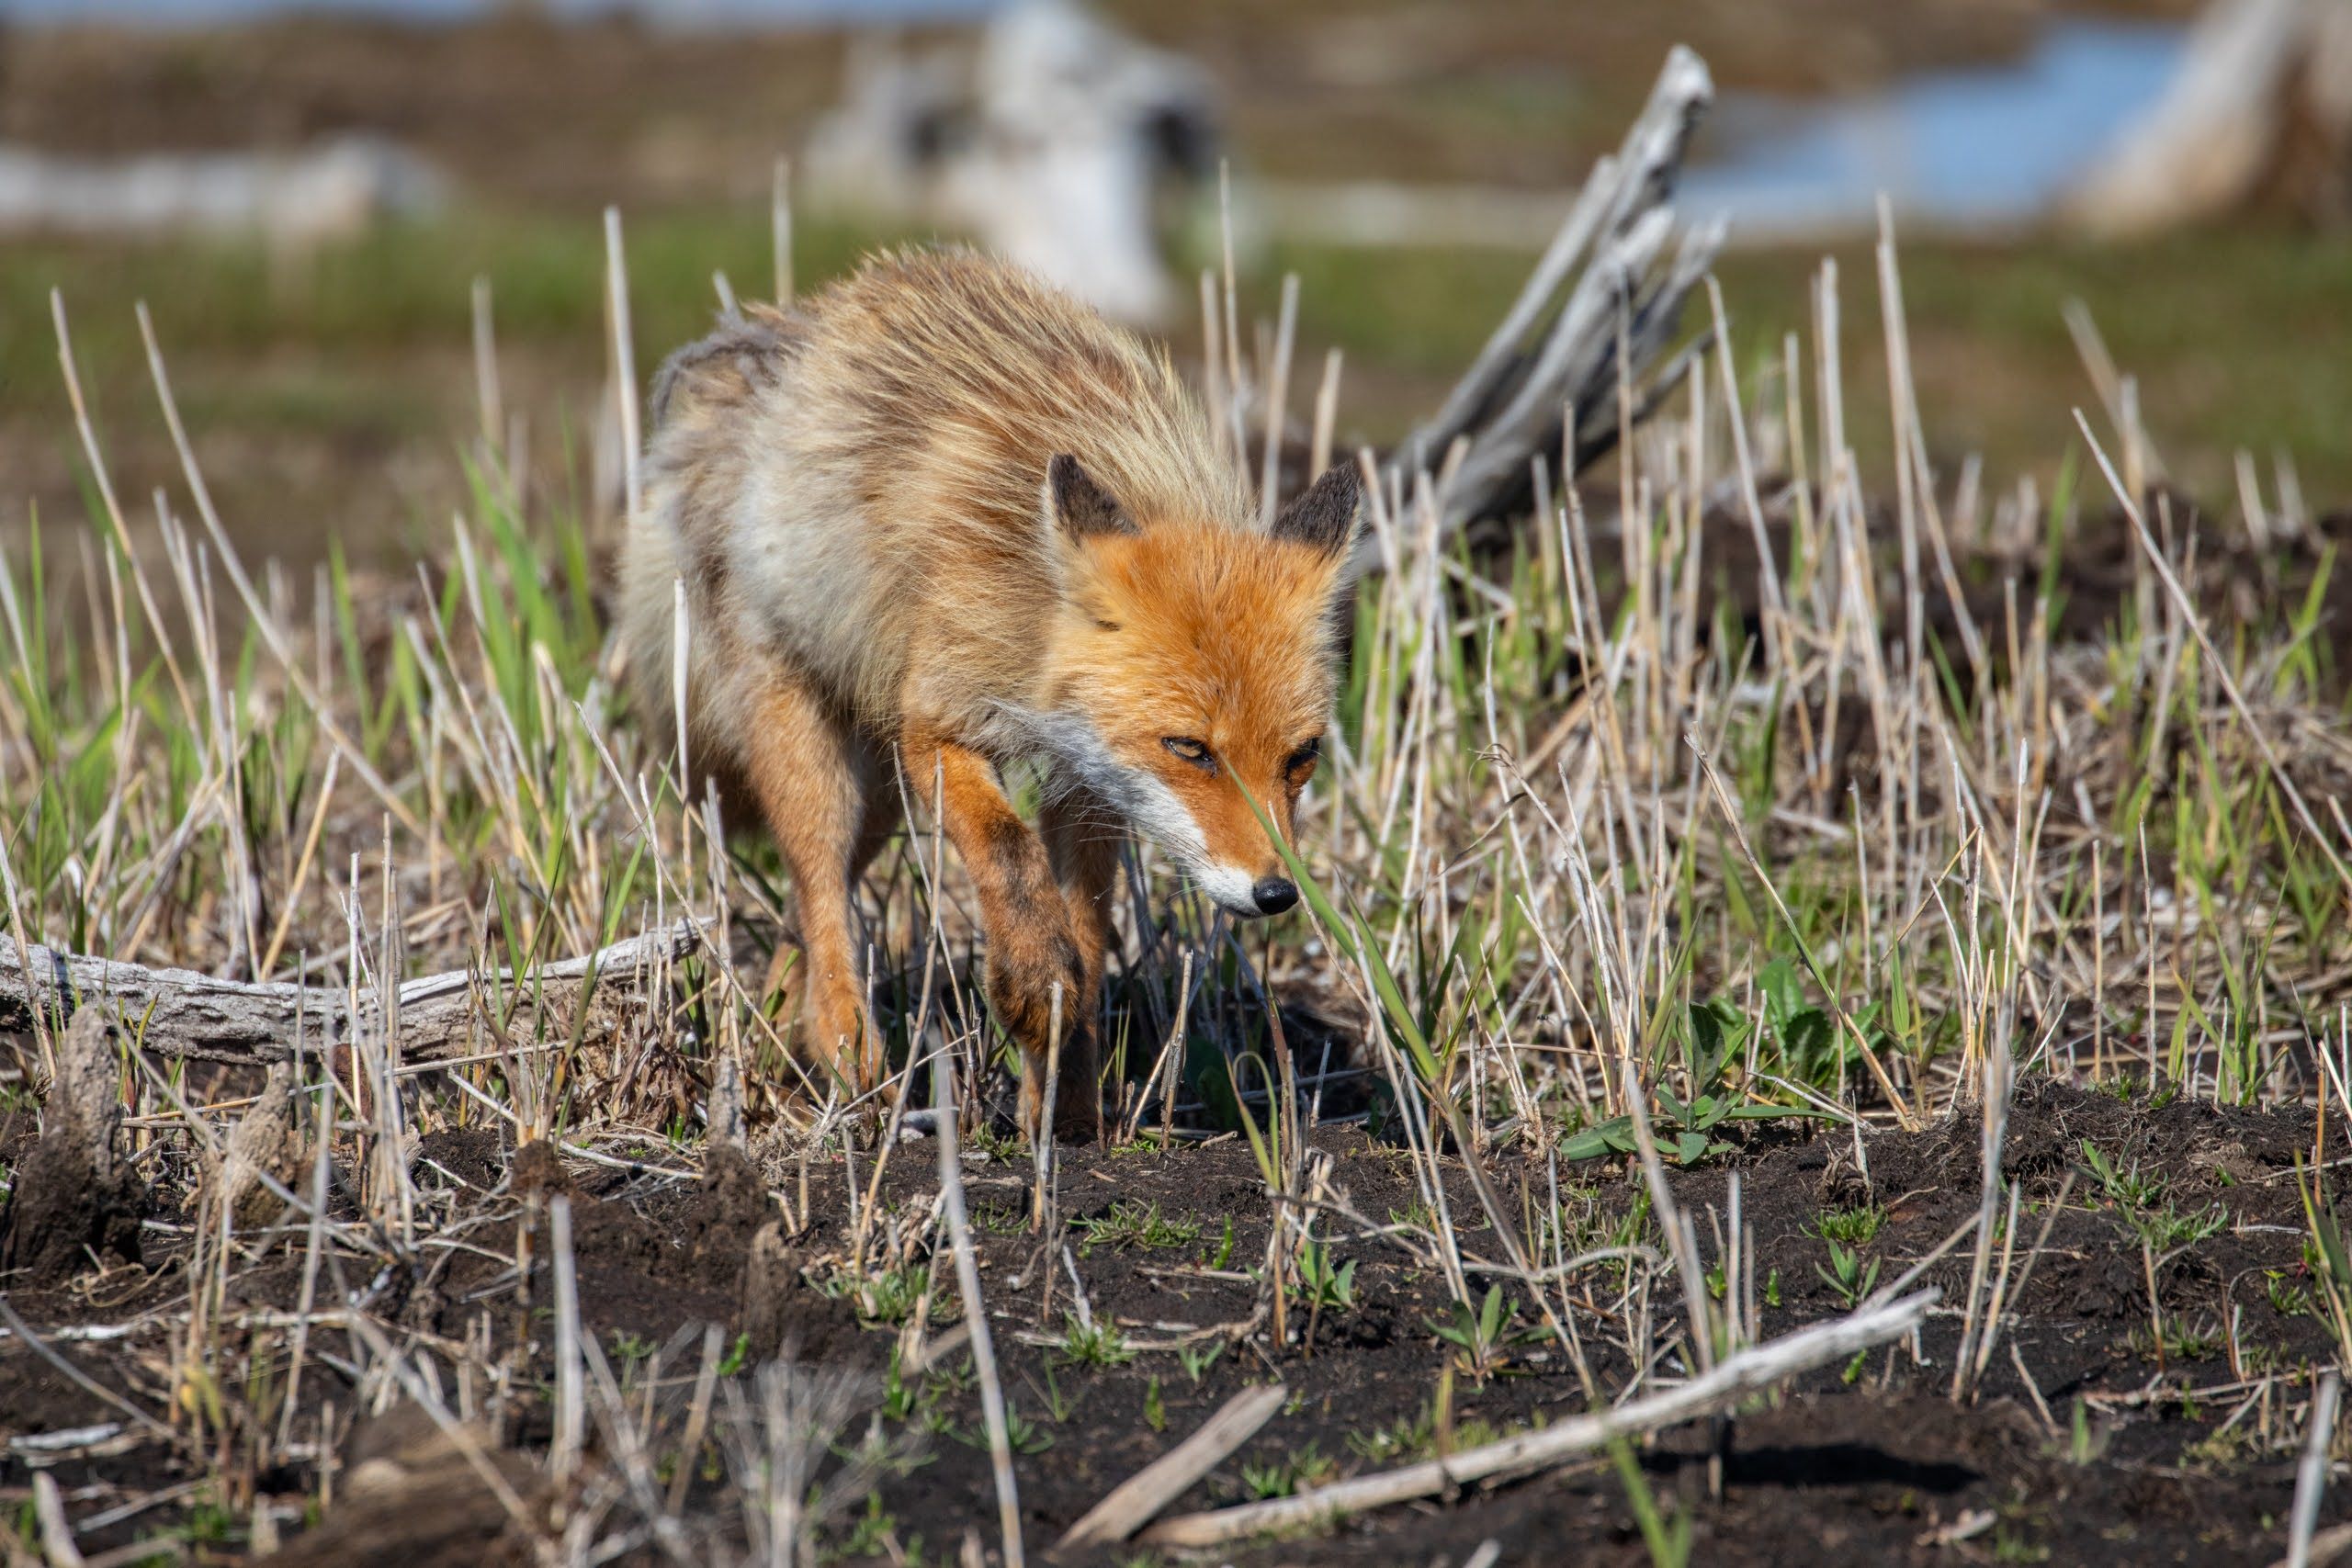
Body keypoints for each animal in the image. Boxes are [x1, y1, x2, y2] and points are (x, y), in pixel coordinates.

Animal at [618, 247, 1362, 1140]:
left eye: (1301, 756)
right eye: (1191, 748)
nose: (1276, 892)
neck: (1029, 605)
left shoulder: (1091, 782)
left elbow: (1087, 927)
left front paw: (1065, 1104)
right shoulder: (939, 725)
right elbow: (1008, 855)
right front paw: (1032, 990)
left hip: (880, 793)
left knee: (807, 905)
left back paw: (783, 1036)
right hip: (820, 761)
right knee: (823, 891)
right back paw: (850, 1061)